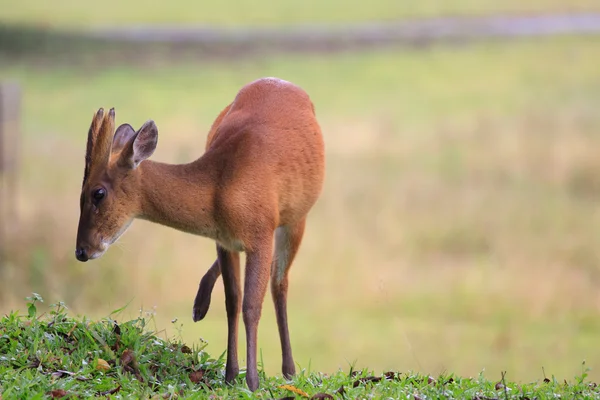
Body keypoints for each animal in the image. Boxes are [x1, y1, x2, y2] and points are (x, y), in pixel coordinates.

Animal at [78, 77, 328, 390]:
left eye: (97, 193)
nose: (81, 251)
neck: (222, 187)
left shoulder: (261, 232)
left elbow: (251, 305)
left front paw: (252, 381)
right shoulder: (224, 240)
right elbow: (232, 301)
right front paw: (231, 375)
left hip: (296, 218)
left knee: (279, 284)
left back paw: (289, 370)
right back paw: (201, 304)